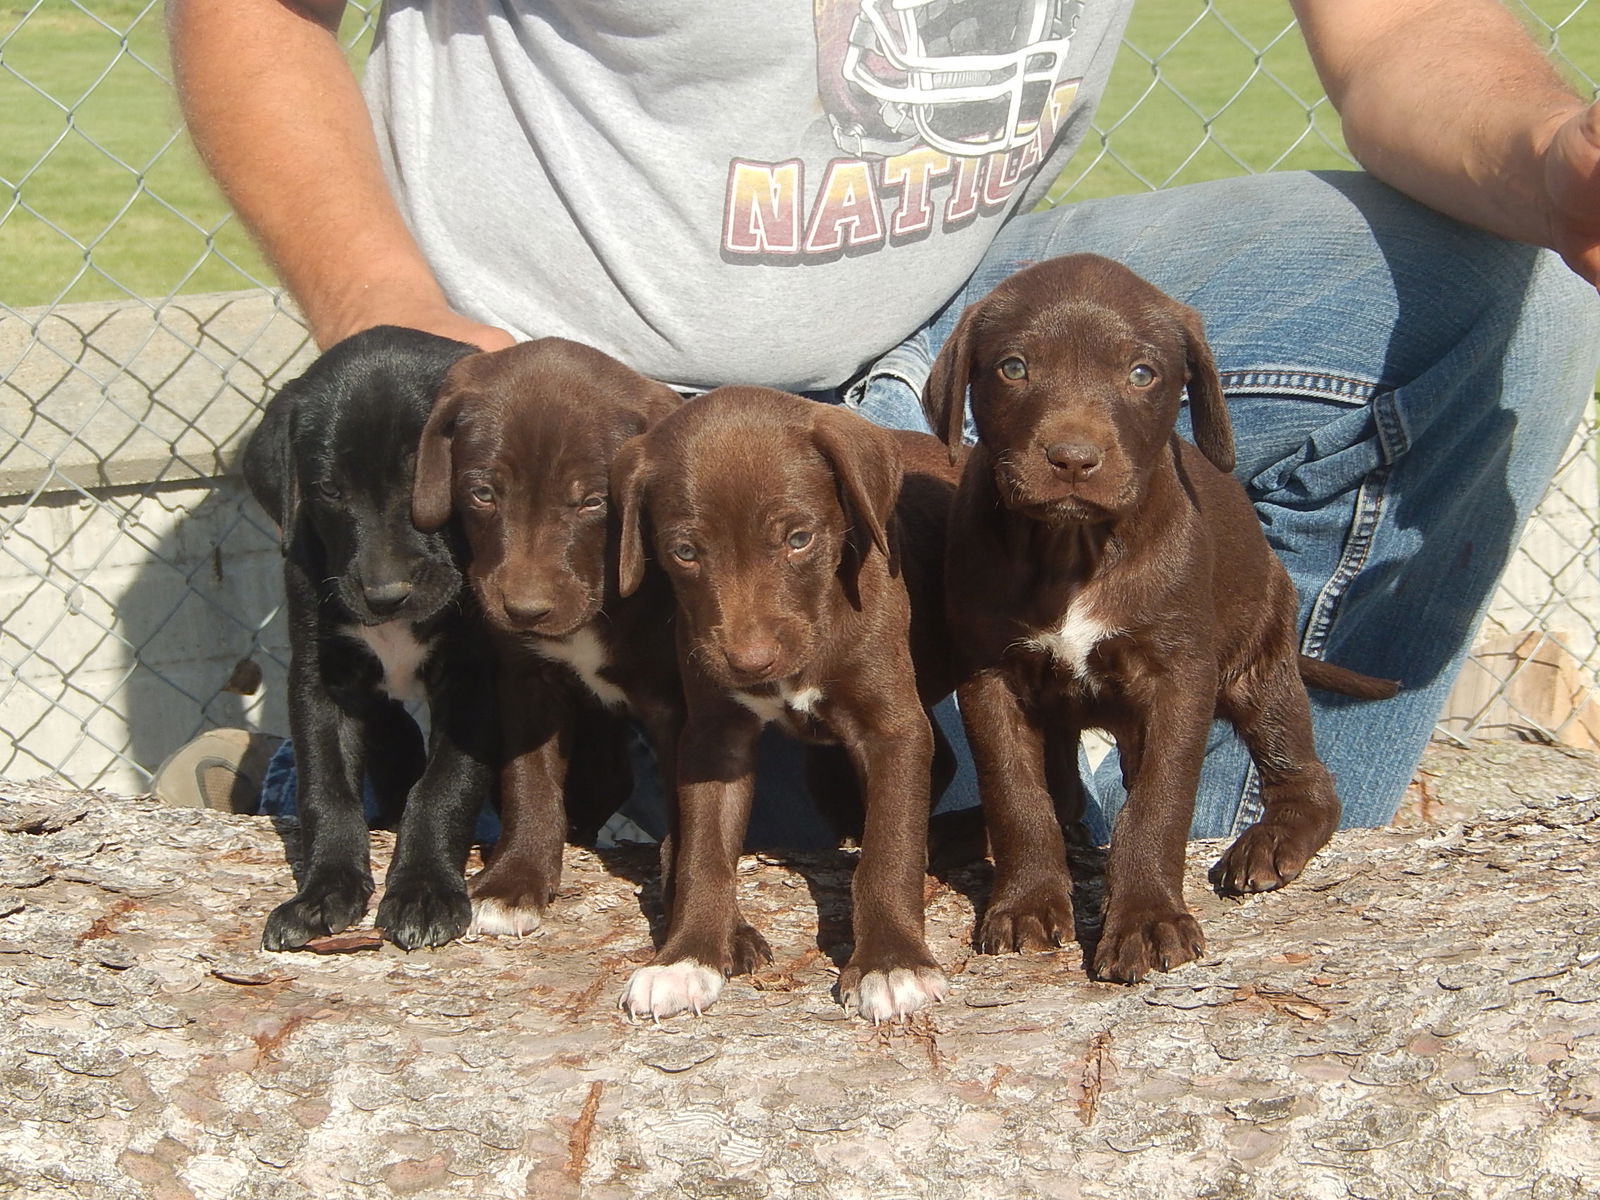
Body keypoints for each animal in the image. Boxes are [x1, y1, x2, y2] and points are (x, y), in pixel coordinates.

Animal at [240, 324, 492, 953]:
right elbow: (325, 787)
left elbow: (444, 785)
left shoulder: (479, 680)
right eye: (329, 489)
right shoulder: (322, 680)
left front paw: (424, 890)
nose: (385, 594)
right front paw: (322, 891)